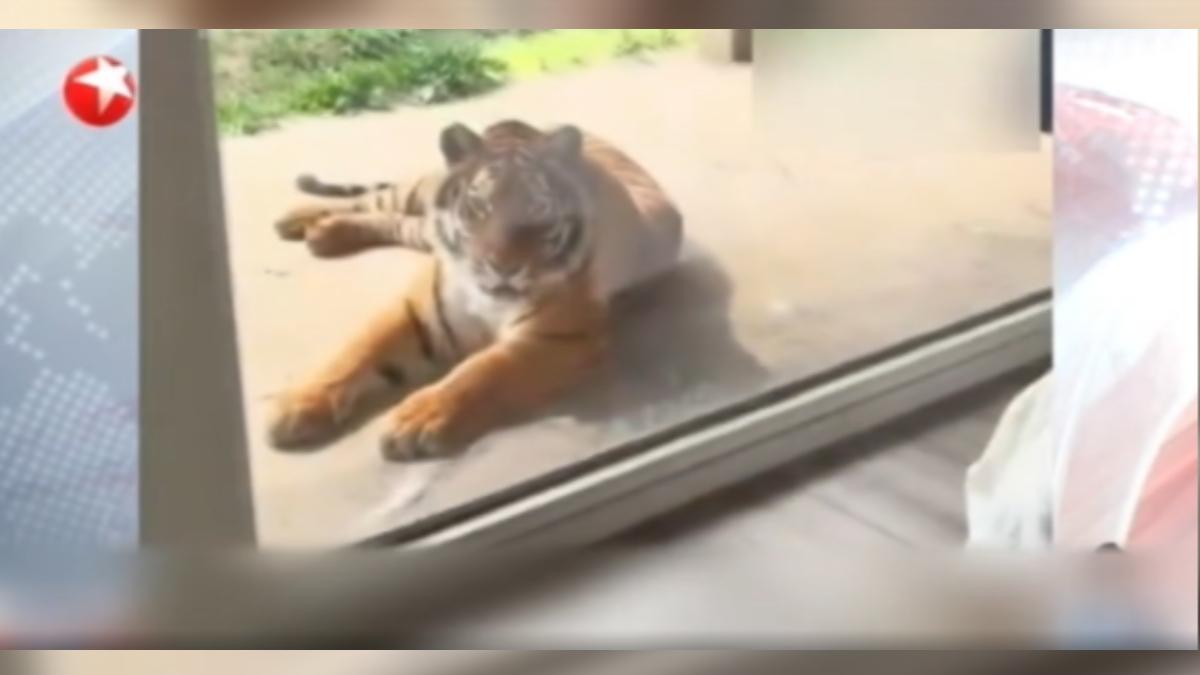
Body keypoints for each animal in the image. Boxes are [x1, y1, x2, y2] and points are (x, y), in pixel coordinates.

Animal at [267, 120, 684, 461]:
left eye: (537, 210)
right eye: (479, 206)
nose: (502, 266)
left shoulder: (558, 338)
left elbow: (481, 371)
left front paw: (417, 420)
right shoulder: (415, 309)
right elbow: (356, 351)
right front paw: (296, 405)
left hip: (419, 228)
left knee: (395, 220)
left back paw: (323, 234)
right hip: (418, 190)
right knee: (375, 199)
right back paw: (298, 218)